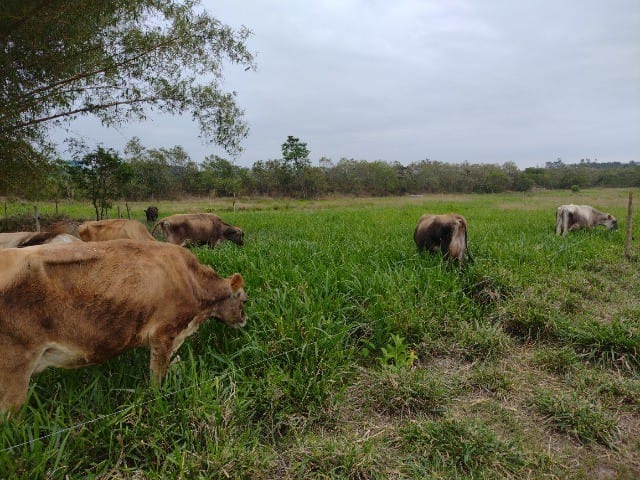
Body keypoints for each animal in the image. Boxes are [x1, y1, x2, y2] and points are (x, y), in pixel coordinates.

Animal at [0, 240, 248, 416]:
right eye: (243, 300)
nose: (244, 318)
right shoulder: (163, 334)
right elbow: (157, 377)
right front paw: (157, 400)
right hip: (15, 367)